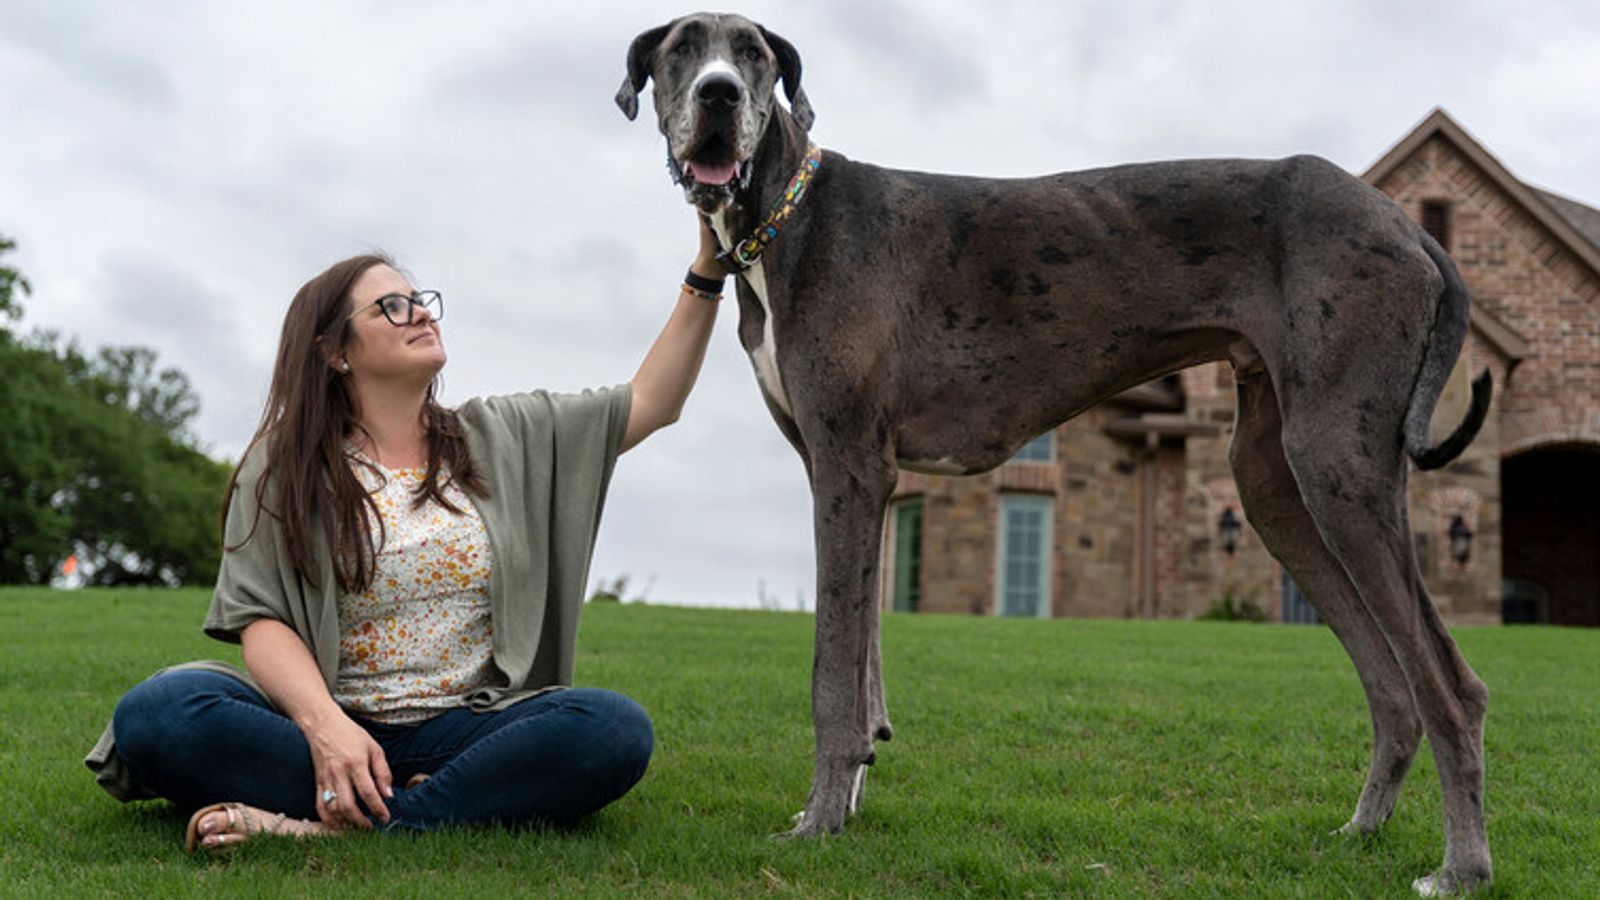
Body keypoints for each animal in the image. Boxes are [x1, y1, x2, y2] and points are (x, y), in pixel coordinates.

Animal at [617, 12, 1491, 890]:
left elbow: (833, 672)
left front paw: (820, 821)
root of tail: (1410, 228)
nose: (720, 95)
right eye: (682, 50)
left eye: (754, 54)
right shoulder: (854, 480)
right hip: (1275, 485)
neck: (787, 216)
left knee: (1451, 686)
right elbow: (863, 661)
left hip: (1336, 465)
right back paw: (1363, 831)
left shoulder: (849, 469)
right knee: (1394, 687)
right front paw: (847, 799)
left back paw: (1461, 868)